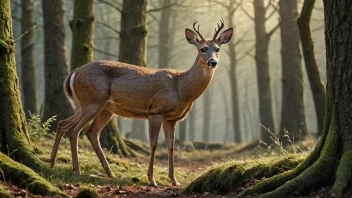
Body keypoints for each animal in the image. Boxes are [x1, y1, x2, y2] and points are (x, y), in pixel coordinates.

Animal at [48, 18, 231, 187]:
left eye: (217, 49)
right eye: (202, 49)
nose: (213, 62)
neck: (181, 89)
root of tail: (73, 74)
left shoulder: (172, 119)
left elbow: (171, 146)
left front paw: (174, 181)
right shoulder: (156, 111)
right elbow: (154, 144)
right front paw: (152, 180)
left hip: (101, 108)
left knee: (76, 128)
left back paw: (60, 165)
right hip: (93, 101)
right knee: (75, 130)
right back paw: (77, 170)